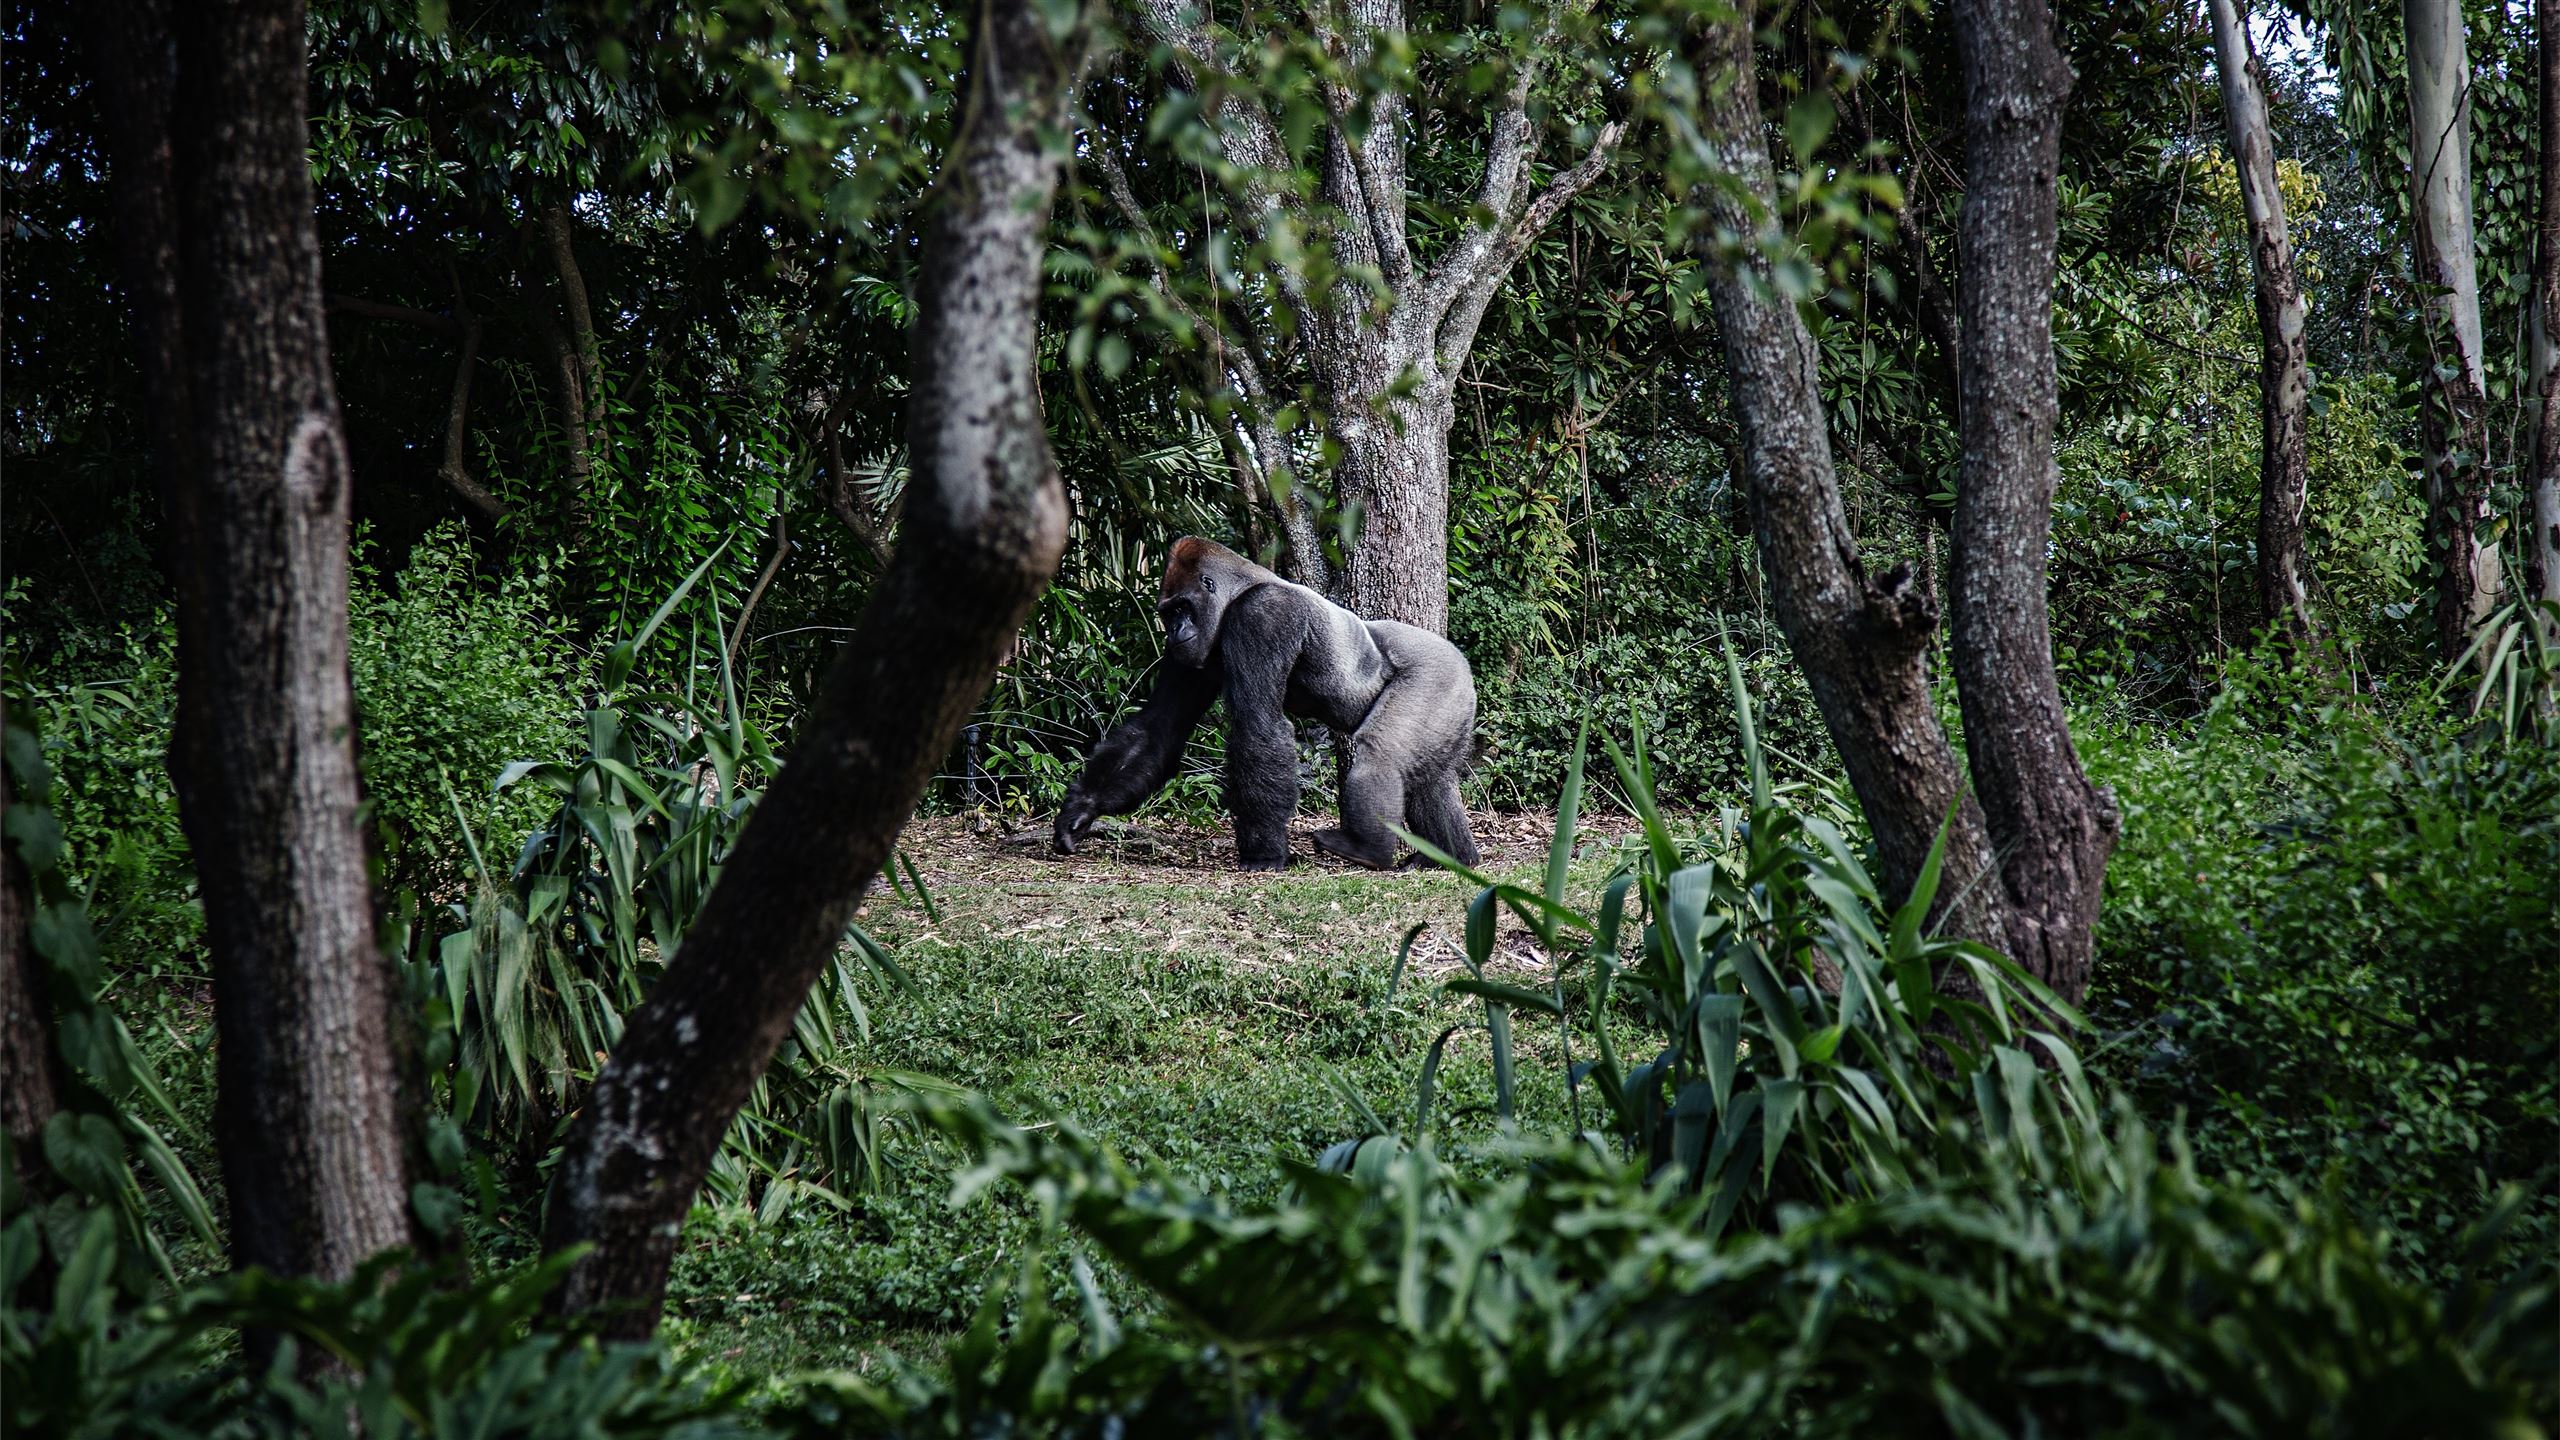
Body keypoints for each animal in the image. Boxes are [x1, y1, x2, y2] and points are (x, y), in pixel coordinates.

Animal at [1052, 537, 1482, 872]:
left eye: (1182, 608)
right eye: (1167, 613)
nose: (1174, 632)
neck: (1239, 590)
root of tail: (1461, 661)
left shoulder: (1263, 615)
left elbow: (1256, 725)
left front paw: (1264, 854)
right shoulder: (1188, 654)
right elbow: (1159, 728)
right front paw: (1082, 808)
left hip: (1437, 674)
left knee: (1382, 752)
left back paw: (1369, 850)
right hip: (1453, 697)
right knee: (1430, 777)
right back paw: (1451, 856)